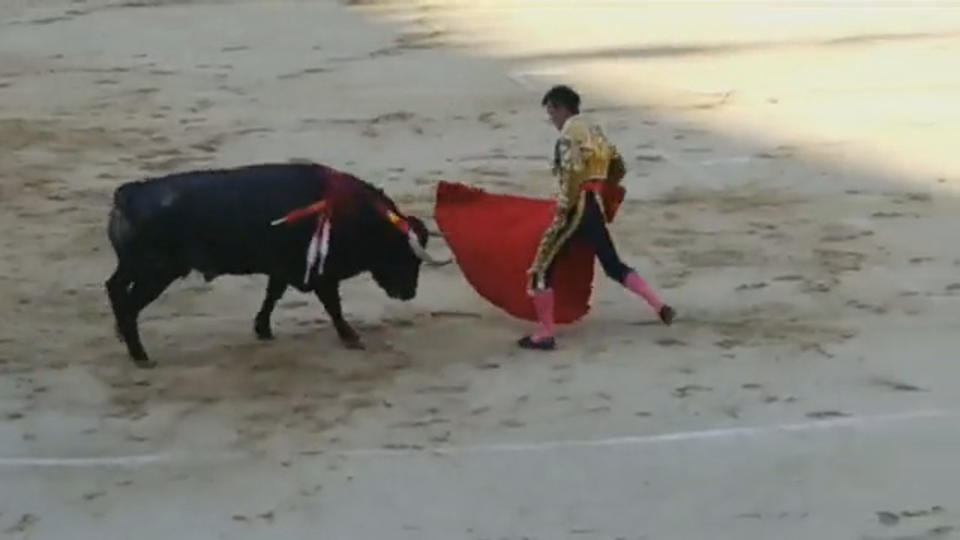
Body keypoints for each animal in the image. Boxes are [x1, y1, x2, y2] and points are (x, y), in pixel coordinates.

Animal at [105, 162, 450, 370]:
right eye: (402, 255)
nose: (408, 293)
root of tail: (127, 195)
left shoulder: (283, 269)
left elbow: (272, 295)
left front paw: (263, 329)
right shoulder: (321, 274)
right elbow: (333, 306)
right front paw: (351, 337)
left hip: (136, 267)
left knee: (115, 290)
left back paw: (125, 340)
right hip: (156, 271)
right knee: (129, 305)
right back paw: (140, 356)